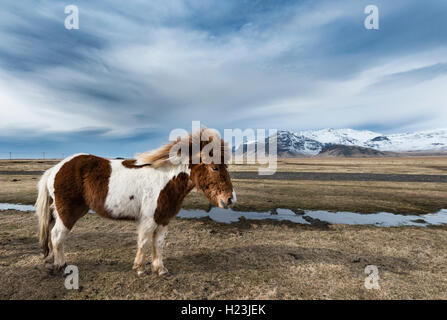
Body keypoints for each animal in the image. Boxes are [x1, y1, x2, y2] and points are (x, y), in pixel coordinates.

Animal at [35, 127, 236, 278]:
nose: (230, 199)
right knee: (56, 235)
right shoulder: (149, 220)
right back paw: (62, 266)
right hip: (67, 212)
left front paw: (160, 270)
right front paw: (140, 269)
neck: (165, 180)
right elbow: (144, 242)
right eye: (215, 167)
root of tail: (55, 168)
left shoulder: (163, 219)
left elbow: (158, 243)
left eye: (226, 166)